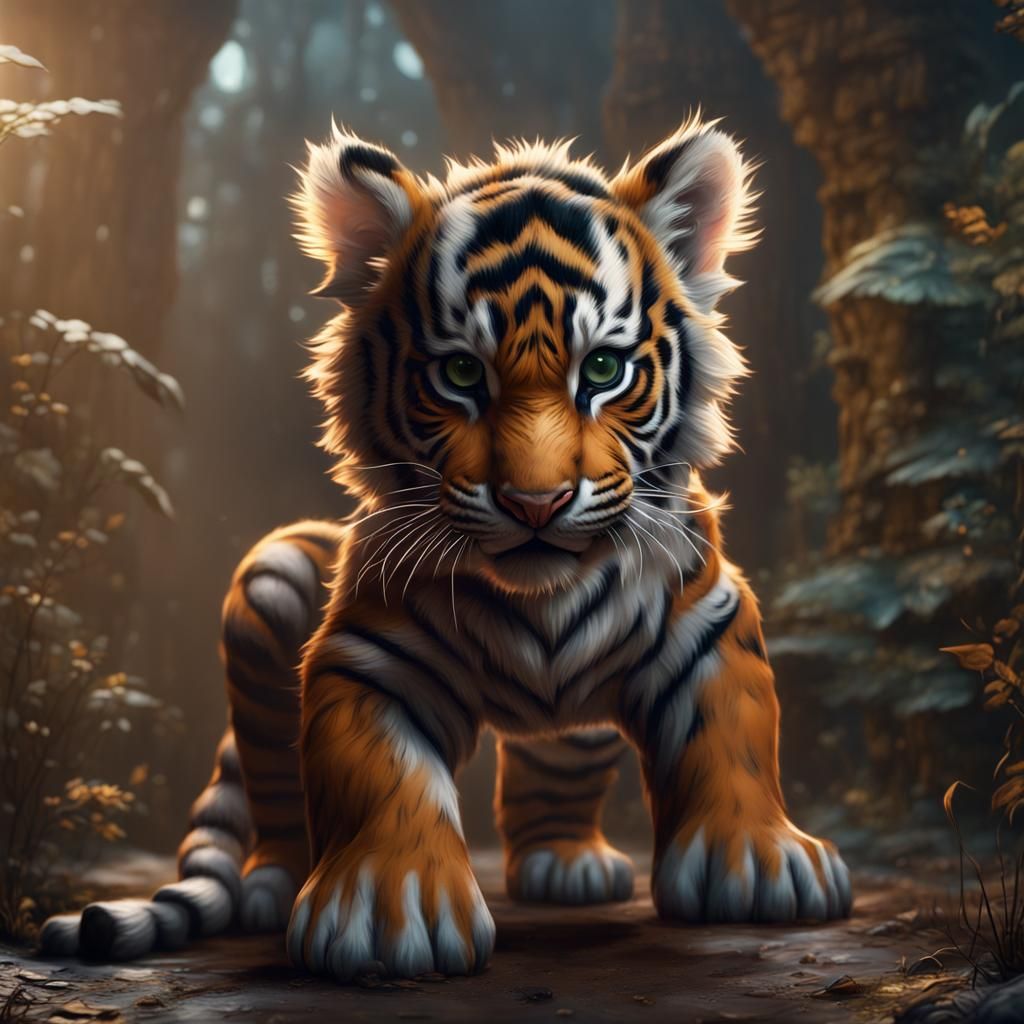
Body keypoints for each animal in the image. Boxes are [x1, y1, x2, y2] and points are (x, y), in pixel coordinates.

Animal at [40, 117, 851, 980]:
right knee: (273, 787)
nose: (536, 503)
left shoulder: (706, 618)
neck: (542, 600)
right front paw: (388, 907)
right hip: (273, 583)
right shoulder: (369, 657)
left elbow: (735, 733)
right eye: (461, 372)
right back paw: (272, 883)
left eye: (602, 368)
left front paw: (763, 860)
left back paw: (568, 864)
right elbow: (375, 771)